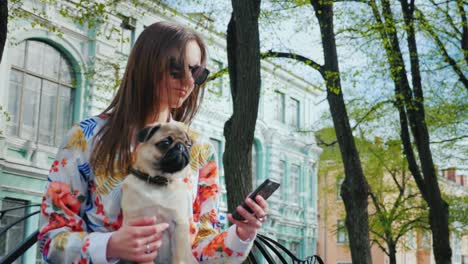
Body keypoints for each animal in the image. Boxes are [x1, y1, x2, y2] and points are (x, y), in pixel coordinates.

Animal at [120, 122, 196, 262]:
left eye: (188, 145)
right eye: (165, 142)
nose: (181, 147)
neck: (158, 181)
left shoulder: (179, 227)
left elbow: (179, 257)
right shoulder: (141, 228)